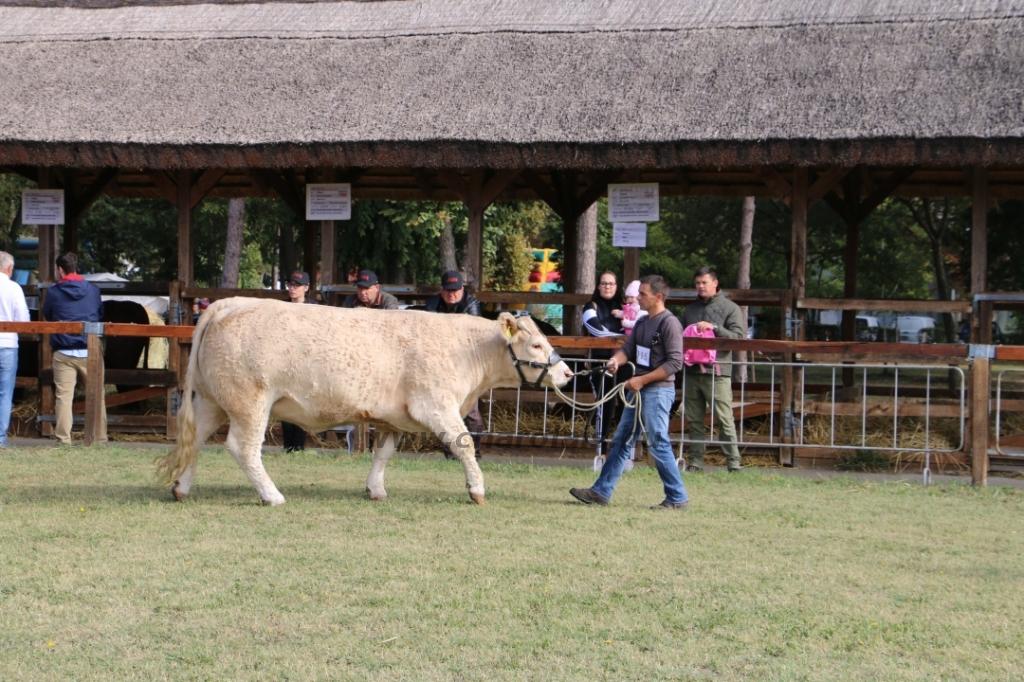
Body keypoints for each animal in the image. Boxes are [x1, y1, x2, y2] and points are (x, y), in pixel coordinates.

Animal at [159, 296, 577, 503]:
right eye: (537, 345)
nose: (568, 373)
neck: (467, 349)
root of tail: (226, 303)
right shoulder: (436, 405)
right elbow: (465, 445)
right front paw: (477, 490)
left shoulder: (396, 416)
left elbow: (384, 452)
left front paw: (375, 489)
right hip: (251, 401)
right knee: (243, 448)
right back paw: (272, 495)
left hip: (212, 399)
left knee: (195, 441)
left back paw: (181, 488)